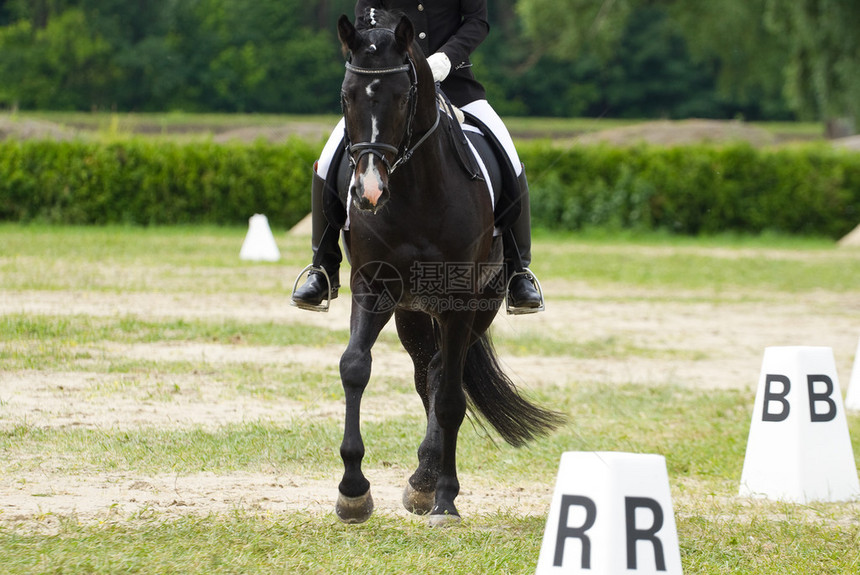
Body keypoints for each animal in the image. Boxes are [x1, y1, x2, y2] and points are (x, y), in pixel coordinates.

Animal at [330, 13, 564, 528]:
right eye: (347, 94)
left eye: (402, 96)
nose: (369, 192)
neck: (414, 189)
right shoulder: (372, 287)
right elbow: (355, 367)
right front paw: (353, 491)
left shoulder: (459, 302)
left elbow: (453, 400)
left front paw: (446, 500)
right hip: (412, 312)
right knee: (427, 374)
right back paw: (421, 476)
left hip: (479, 306)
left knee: (441, 379)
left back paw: (427, 481)